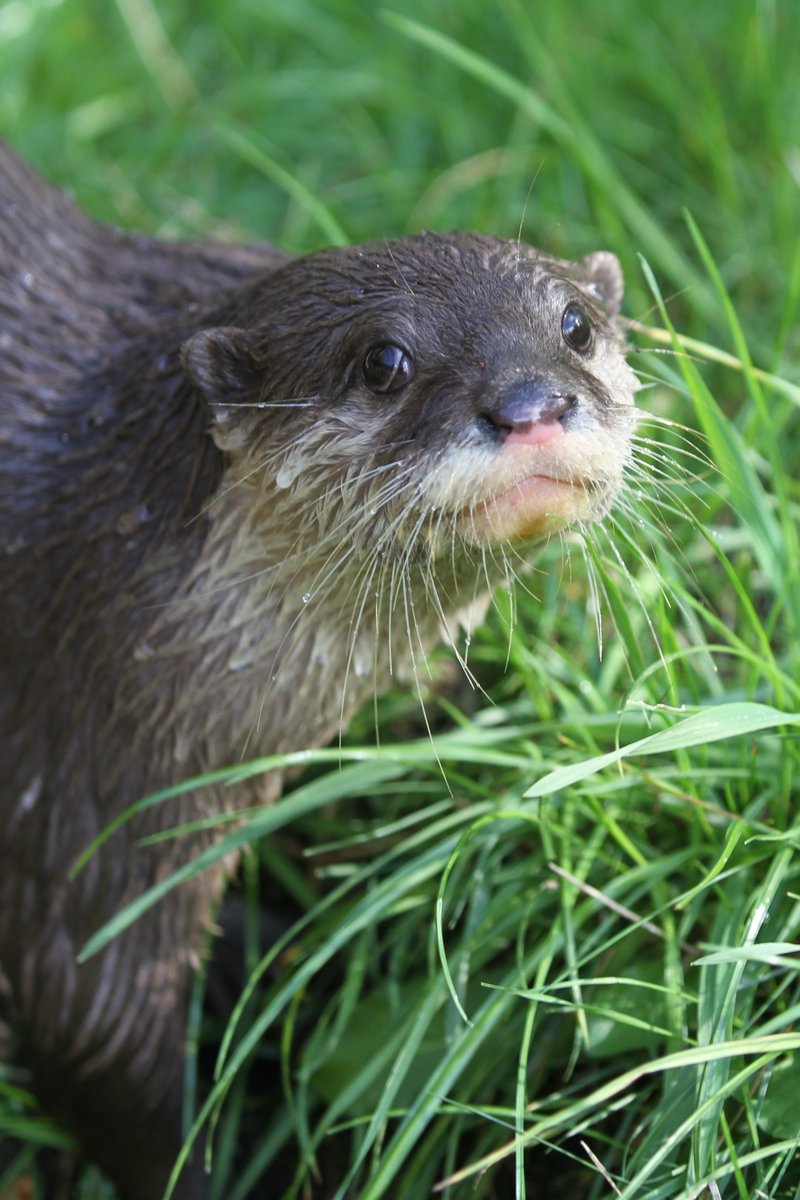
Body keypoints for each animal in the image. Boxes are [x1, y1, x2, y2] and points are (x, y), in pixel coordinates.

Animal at [0, 142, 642, 1200]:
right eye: (384, 361)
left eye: (576, 326)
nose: (531, 404)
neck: (100, 547)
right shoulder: (78, 777)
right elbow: (96, 1030)